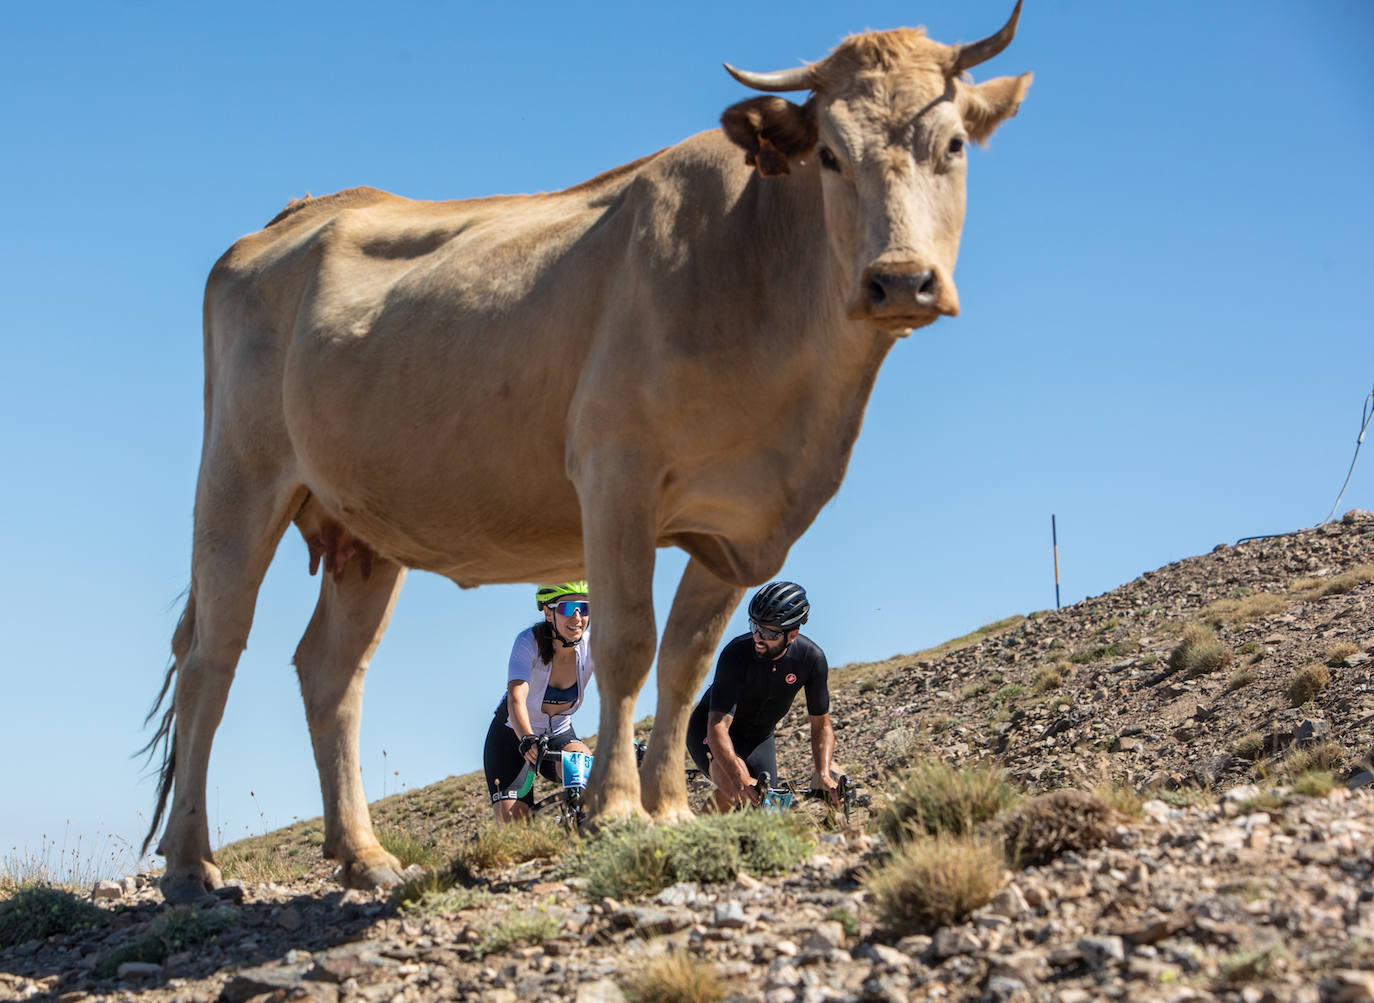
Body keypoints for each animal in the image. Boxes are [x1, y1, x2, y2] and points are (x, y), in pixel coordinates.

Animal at [150, 5, 1033, 901]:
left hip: (359, 527)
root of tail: (295, 216)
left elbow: (686, 662)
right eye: (829, 154)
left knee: (331, 672)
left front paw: (670, 808)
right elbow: (628, 641)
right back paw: (191, 863)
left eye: (954, 144)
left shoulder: (740, 520)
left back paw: (362, 854)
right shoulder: (614, 473)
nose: (899, 279)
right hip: (238, 479)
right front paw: (616, 809)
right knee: (211, 657)